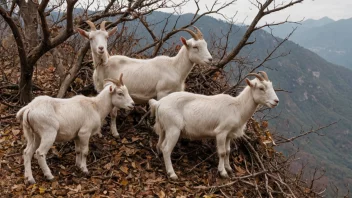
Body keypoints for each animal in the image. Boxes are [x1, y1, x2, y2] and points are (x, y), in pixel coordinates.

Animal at [77, 20, 213, 138]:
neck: (175, 67)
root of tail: (105, 62)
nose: (210, 59)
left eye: (205, 45)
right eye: (195, 47)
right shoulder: (162, 92)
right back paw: (113, 132)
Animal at [149, 71, 280, 179]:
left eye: (271, 86)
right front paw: (223, 172)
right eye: (261, 88)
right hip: (174, 129)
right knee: (167, 148)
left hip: (164, 128)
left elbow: (228, 150)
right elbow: (222, 152)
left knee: (160, 144)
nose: (276, 101)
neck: (237, 107)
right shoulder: (221, 132)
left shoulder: (229, 135)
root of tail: (159, 103)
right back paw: (172, 174)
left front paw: (229, 168)